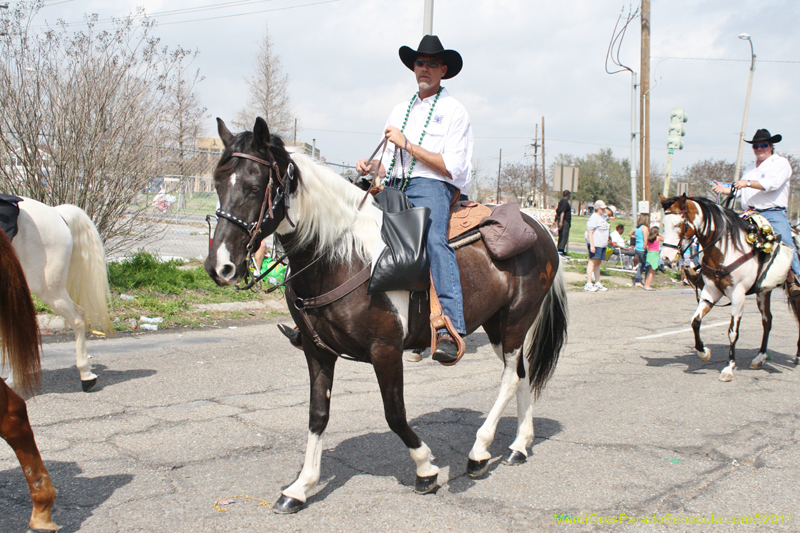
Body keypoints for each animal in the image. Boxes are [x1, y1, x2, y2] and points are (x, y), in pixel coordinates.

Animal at [206, 119, 568, 512]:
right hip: (497, 325)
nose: (220, 267)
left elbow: (394, 414)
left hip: (516, 320)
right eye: (217, 183)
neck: (344, 256)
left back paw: (479, 452)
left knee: (509, 379)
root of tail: (540, 227)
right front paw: (300, 487)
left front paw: (425, 469)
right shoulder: (318, 352)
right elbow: (318, 415)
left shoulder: (385, 350)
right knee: (520, 373)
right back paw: (519, 445)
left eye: (255, 187)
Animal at [660, 193, 796, 380]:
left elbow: (732, 332)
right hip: (764, 292)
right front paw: (704, 352)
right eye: (664, 224)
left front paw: (729, 367)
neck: (726, 250)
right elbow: (695, 321)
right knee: (767, 321)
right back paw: (759, 357)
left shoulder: (738, 295)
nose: (665, 257)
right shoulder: (710, 292)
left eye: (678, 224)